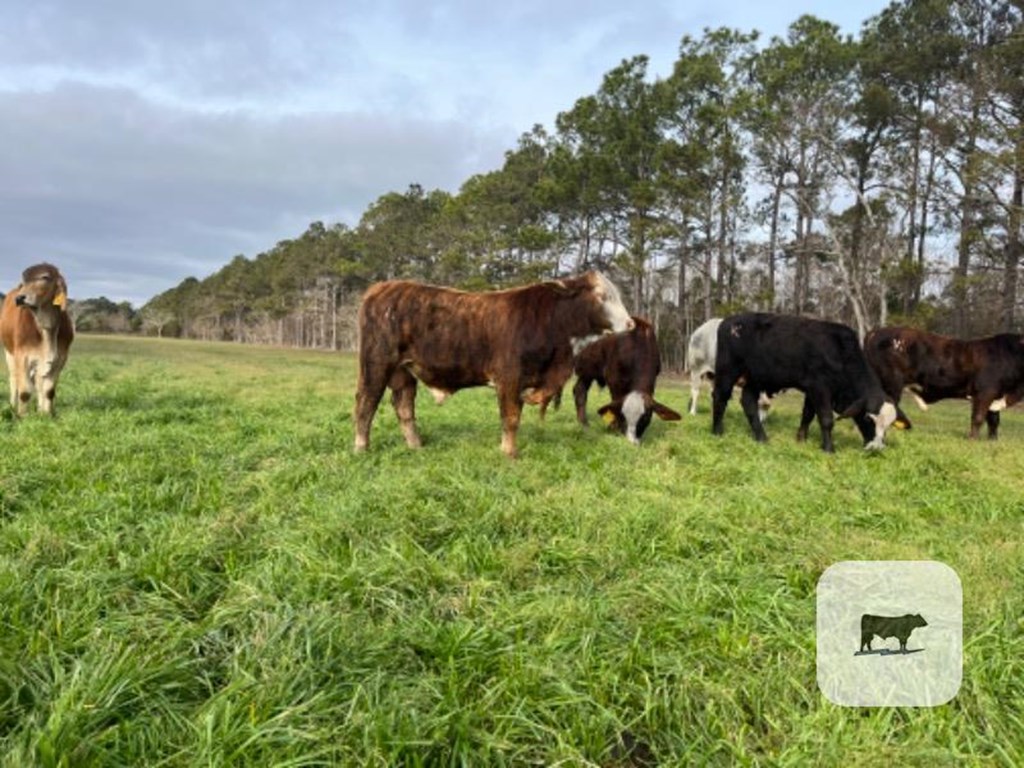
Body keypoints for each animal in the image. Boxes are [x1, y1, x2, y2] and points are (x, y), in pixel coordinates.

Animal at [1, 268, 75, 417]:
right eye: (24, 280)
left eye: (44, 277)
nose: (20, 298)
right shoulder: (22, 356)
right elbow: (24, 392)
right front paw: (22, 416)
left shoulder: (60, 359)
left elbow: (49, 391)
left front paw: (46, 414)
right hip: (9, 353)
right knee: (14, 380)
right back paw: (12, 406)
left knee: (38, 383)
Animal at [356, 274, 634, 460]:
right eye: (603, 296)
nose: (631, 323)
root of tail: (381, 288)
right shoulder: (508, 378)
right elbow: (510, 418)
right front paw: (509, 453)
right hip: (376, 365)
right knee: (366, 404)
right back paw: (361, 448)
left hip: (403, 372)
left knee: (404, 407)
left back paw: (416, 446)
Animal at [573, 313, 684, 444]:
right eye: (622, 415)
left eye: (645, 417)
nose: (631, 442)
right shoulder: (613, 379)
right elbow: (614, 403)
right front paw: (614, 427)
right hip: (585, 370)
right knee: (580, 392)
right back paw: (583, 423)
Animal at [712, 315, 897, 454]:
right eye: (868, 418)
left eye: (888, 426)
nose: (876, 447)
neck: (840, 352)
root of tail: (728, 322)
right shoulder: (820, 388)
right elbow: (826, 419)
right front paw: (828, 448)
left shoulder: (812, 390)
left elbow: (808, 415)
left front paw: (801, 439)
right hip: (727, 371)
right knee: (720, 397)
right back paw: (717, 431)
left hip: (754, 378)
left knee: (748, 403)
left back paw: (762, 437)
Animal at [864, 327, 1024, 442]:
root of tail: (876, 331)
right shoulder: (984, 393)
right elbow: (978, 418)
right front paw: (972, 439)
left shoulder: (996, 394)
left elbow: (994, 420)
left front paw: (992, 441)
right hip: (892, 384)